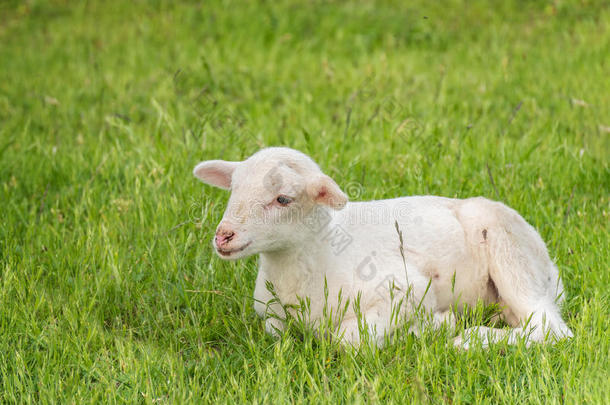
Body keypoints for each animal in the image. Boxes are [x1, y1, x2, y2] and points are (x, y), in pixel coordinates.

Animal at [192, 147, 572, 348]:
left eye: (282, 199)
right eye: (233, 189)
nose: (223, 236)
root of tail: (551, 269)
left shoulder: (406, 287)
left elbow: (347, 340)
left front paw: (432, 325)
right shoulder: (270, 314)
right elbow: (275, 331)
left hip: (510, 252)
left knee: (552, 329)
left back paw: (469, 339)